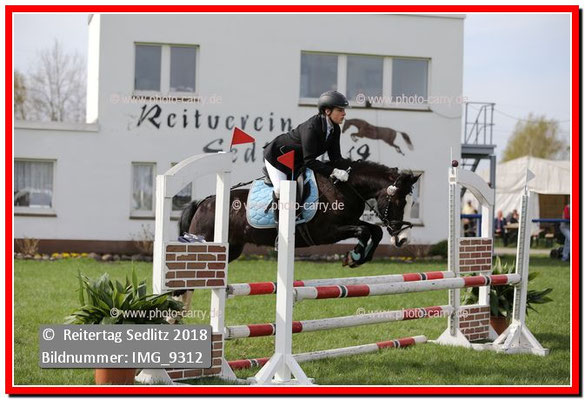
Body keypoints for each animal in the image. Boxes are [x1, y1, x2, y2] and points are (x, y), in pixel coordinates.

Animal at [179, 159, 420, 268]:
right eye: (398, 201)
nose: (403, 239)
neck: (343, 187)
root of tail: (204, 202)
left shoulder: (349, 221)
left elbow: (374, 231)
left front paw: (357, 258)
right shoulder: (326, 233)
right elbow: (363, 231)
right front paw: (354, 256)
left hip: (233, 249)